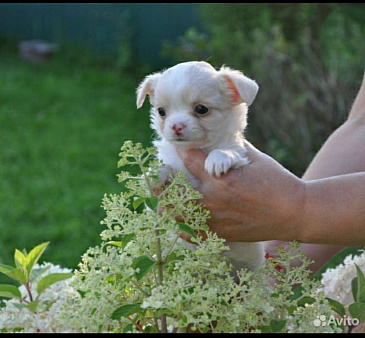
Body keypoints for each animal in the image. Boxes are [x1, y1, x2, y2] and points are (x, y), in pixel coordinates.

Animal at [135, 60, 264, 272]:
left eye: (201, 109)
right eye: (162, 112)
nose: (176, 126)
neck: (198, 148)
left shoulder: (239, 153)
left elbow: (228, 150)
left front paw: (218, 159)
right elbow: (166, 166)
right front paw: (153, 174)